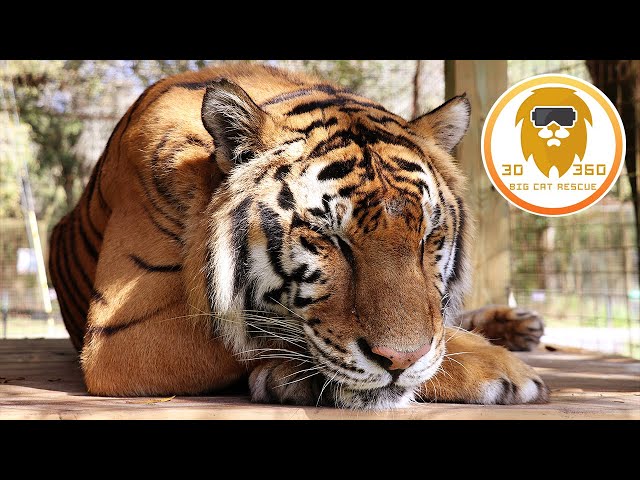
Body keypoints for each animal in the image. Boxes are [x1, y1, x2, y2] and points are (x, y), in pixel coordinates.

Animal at [48, 63, 547, 409]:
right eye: (330, 238)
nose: (401, 360)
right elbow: (256, 332)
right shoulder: (126, 334)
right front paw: (499, 367)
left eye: (427, 237)